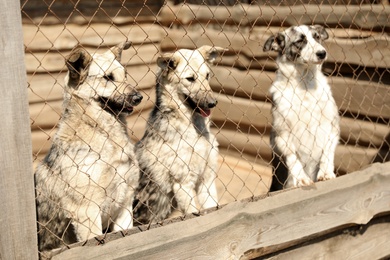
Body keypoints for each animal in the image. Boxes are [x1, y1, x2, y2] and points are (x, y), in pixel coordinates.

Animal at [134, 45, 225, 223]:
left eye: (207, 76)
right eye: (190, 79)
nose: (213, 103)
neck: (196, 131)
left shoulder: (207, 180)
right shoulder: (183, 184)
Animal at [264, 24, 340, 191]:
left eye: (317, 37)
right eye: (300, 41)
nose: (322, 53)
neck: (305, 85)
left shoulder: (332, 127)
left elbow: (327, 152)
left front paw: (326, 173)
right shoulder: (282, 134)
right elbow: (294, 158)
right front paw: (301, 178)